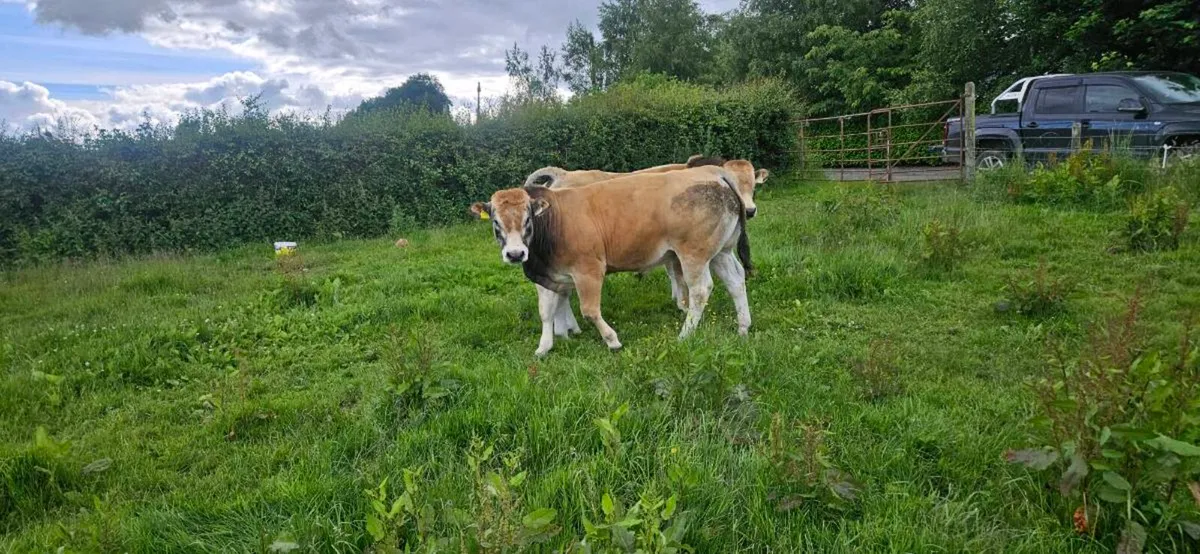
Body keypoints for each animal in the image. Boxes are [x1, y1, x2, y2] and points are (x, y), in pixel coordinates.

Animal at [470, 163, 762, 356]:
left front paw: (612, 340)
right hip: (721, 252)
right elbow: (546, 311)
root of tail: (712, 172)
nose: (515, 254)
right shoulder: (550, 275)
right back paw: (743, 327)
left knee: (700, 290)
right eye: (496, 222)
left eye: (528, 219)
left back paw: (685, 334)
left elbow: (589, 310)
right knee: (736, 281)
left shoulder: (588, 270)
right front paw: (545, 346)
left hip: (693, 254)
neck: (555, 221)